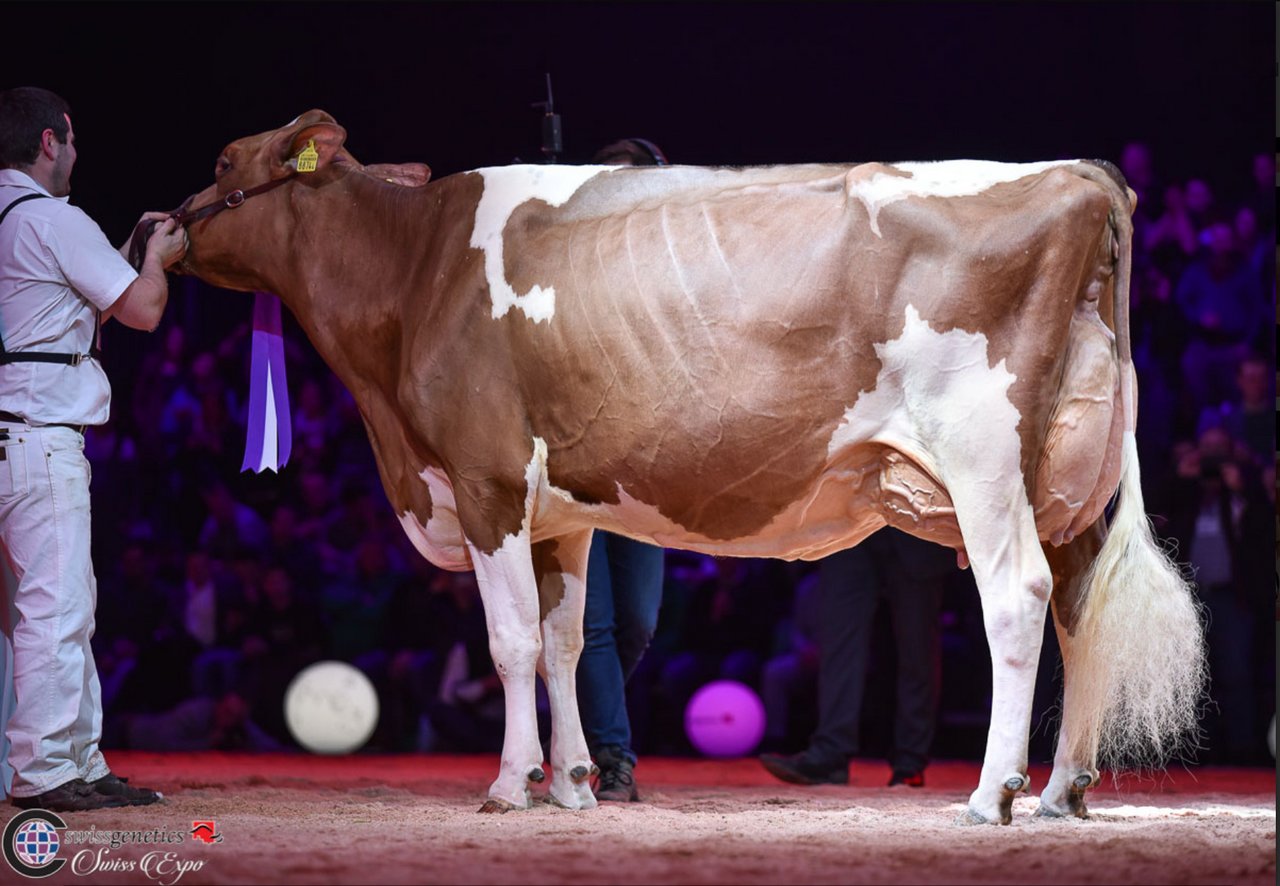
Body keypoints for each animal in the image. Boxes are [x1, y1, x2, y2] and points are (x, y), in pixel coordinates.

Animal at [170, 108, 1198, 824]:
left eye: (221, 164)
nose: (158, 225)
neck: (419, 266)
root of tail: (1073, 173)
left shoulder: (484, 481)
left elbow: (510, 643)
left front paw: (509, 784)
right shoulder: (561, 514)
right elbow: (566, 643)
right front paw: (573, 784)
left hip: (983, 455)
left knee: (1017, 601)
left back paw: (992, 795)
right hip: (1066, 483)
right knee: (1079, 611)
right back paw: (1064, 792)